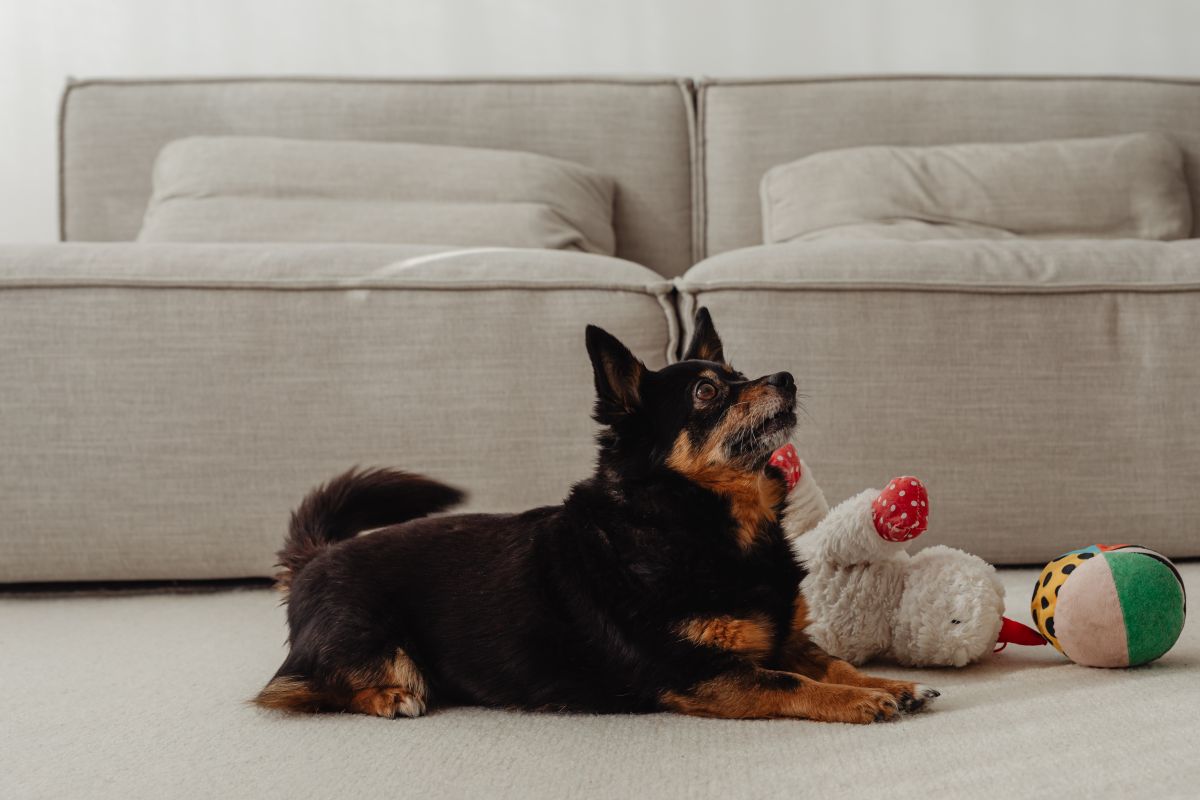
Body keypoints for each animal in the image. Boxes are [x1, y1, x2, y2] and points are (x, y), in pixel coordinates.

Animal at [255, 309, 936, 724]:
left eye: (741, 375)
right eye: (708, 393)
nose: (788, 377)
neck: (704, 522)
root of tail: (314, 559)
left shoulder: (787, 640)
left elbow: (835, 662)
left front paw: (890, 686)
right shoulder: (698, 671)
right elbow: (791, 684)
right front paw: (857, 702)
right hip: (374, 641)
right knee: (291, 688)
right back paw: (391, 695)